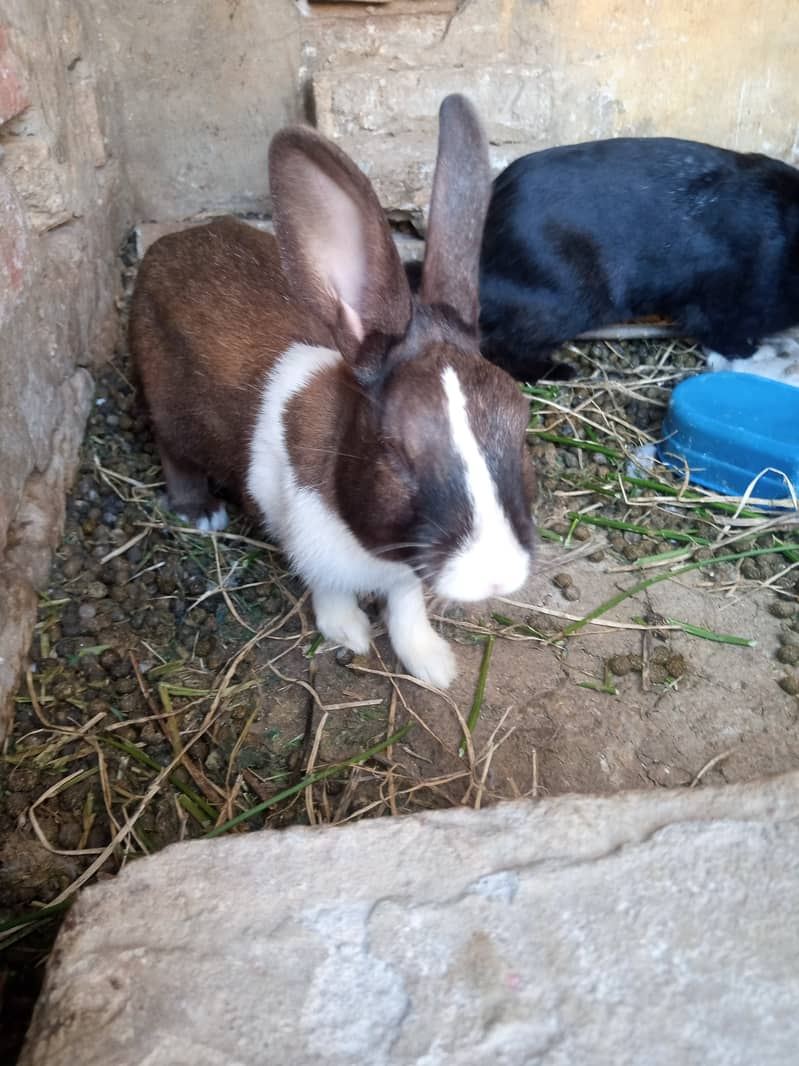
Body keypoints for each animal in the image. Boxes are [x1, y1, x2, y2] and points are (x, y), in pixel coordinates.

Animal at [129, 94, 536, 690]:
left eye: (522, 426)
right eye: (395, 452)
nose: (496, 578)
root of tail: (166, 246)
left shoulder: (406, 573)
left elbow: (407, 609)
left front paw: (433, 665)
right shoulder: (308, 544)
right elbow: (329, 590)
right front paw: (349, 634)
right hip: (167, 406)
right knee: (173, 451)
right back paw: (201, 512)